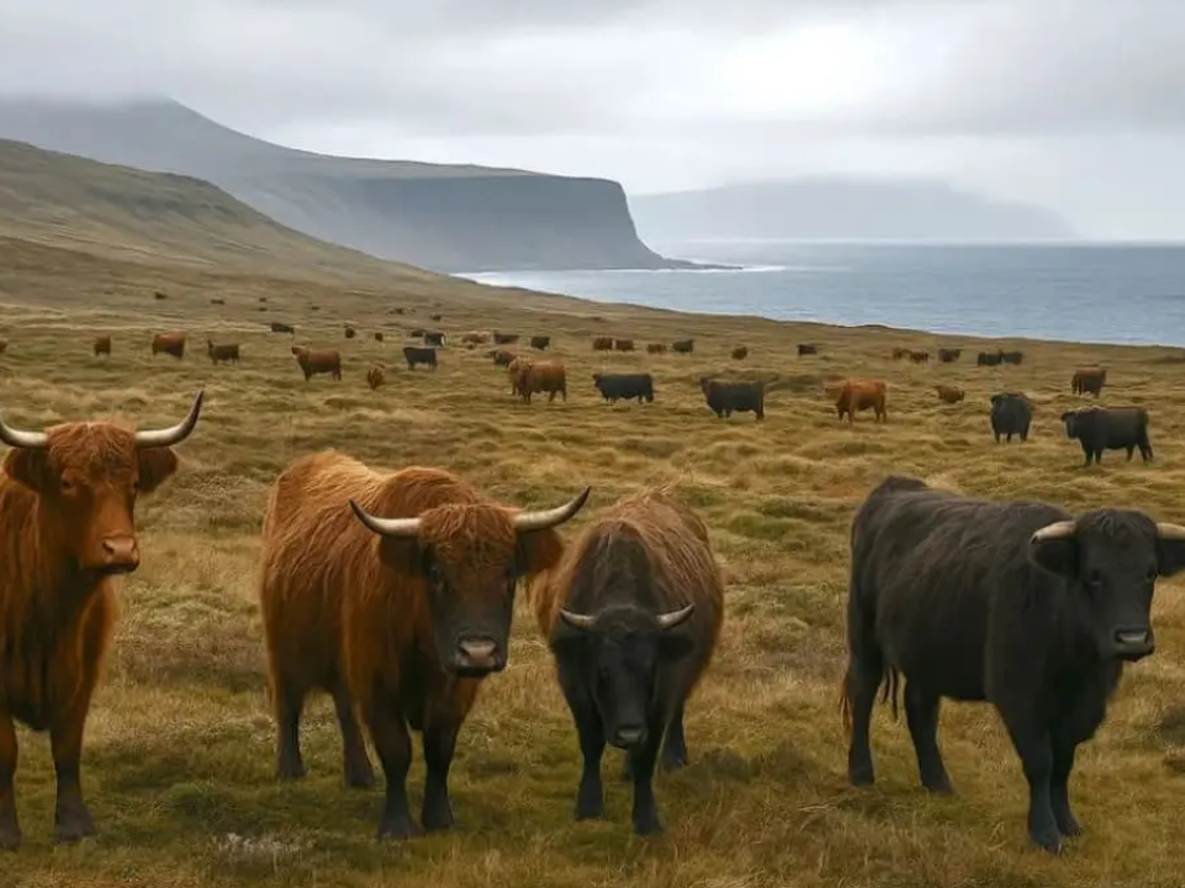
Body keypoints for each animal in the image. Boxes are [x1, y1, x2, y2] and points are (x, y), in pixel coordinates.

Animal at [0, 391, 204, 848]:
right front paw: (5, 832)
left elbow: (67, 747)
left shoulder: (85, 673)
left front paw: (75, 825)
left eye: (133, 484)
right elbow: (6, 752)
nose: (121, 549)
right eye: (67, 483)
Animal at [257, 452, 590, 839]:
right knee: (288, 703)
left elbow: (439, 751)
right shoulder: (377, 680)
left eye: (508, 575)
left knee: (344, 709)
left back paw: (359, 774)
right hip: (283, 646)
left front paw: (439, 818)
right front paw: (396, 826)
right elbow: (396, 750)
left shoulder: (455, 690)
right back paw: (289, 769)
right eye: (436, 574)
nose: (478, 652)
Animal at [533, 487, 724, 835]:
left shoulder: (662, 692)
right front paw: (589, 807)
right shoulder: (575, 686)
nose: (629, 733)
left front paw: (647, 819)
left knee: (678, 710)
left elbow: (648, 754)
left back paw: (673, 757)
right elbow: (591, 744)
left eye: (650, 668)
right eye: (602, 670)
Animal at [839, 474, 1185, 853]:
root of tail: (894, 486)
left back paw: (937, 783)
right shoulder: (1019, 695)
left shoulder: (1082, 708)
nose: (1133, 638)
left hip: (926, 651)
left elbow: (1063, 764)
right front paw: (1045, 833)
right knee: (862, 693)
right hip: (864, 635)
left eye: (1150, 573)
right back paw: (861, 773)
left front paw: (1067, 822)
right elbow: (1041, 763)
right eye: (1093, 574)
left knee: (920, 711)